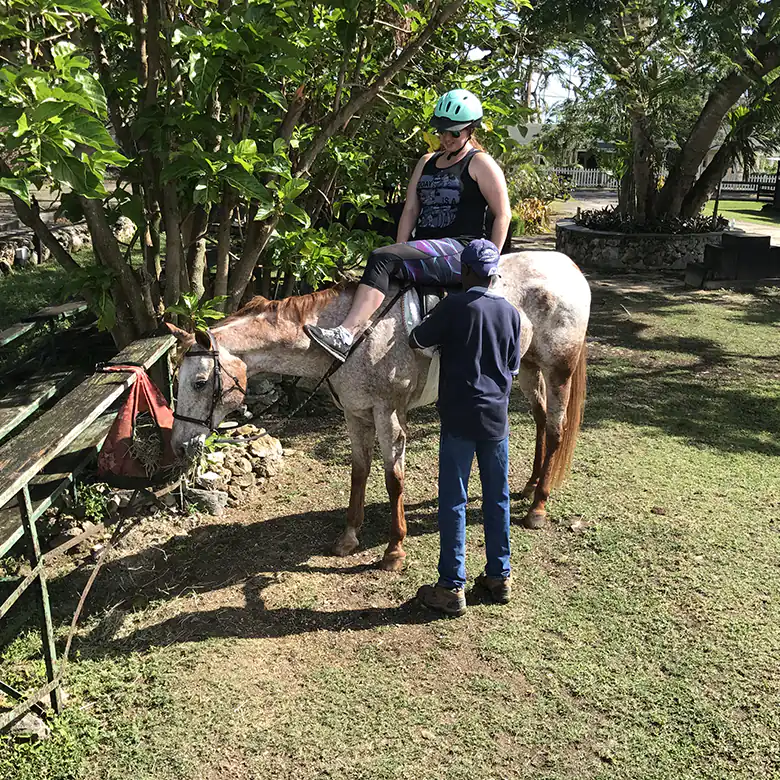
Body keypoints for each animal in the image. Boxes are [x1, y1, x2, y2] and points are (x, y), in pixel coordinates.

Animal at [166, 251, 591, 572]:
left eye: (199, 382)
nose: (178, 445)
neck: (345, 335)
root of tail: (569, 266)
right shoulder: (355, 413)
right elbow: (359, 472)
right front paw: (348, 537)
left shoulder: (388, 413)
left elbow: (393, 478)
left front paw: (394, 549)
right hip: (527, 366)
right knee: (539, 420)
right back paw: (530, 486)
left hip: (558, 370)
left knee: (555, 428)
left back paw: (538, 507)